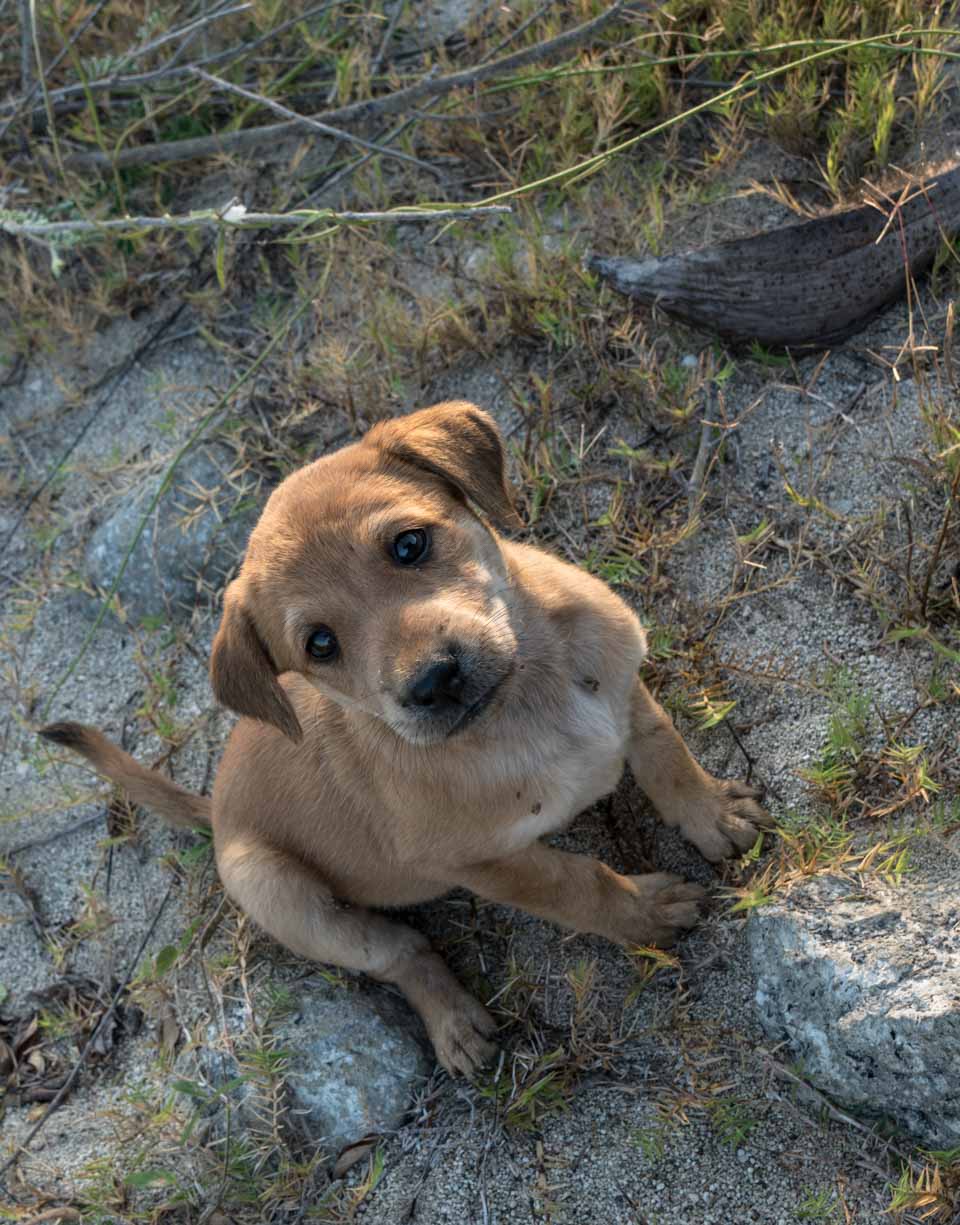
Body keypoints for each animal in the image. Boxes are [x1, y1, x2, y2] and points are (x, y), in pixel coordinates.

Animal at [43, 399, 773, 1073]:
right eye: (320, 644)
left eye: (409, 544)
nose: (433, 681)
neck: (523, 703)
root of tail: (216, 807)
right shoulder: (488, 863)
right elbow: (580, 883)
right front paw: (645, 911)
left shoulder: (623, 677)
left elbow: (663, 749)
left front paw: (713, 814)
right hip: (279, 891)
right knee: (399, 950)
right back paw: (451, 1019)